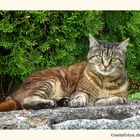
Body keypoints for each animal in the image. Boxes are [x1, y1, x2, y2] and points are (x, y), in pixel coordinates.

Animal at [0, 34, 130, 111]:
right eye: (99, 57)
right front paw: (78, 102)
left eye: (113, 59)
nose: (105, 66)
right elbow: (81, 97)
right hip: (48, 82)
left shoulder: (123, 97)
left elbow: (115, 99)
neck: (104, 80)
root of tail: (14, 92)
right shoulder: (80, 91)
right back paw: (49, 103)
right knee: (26, 101)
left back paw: (62, 101)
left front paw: (100, 100)